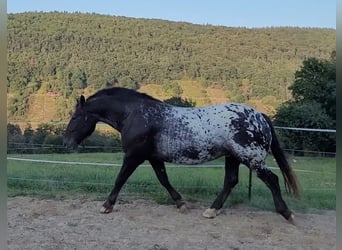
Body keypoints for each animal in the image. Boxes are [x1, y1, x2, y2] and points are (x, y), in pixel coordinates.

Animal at [62, 87, 300, 222]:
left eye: (75, 117)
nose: (66, 142)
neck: (136, 114)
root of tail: (260, 116)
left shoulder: (134, 156)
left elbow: (120, 179)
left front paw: (106, 206)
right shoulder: (153, 157)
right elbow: (163, 180)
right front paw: (181, 204)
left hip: (251, 159)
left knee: (272, 179)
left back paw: (287, 213)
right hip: (233, 157)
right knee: (231, 181)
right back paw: (211, 211)